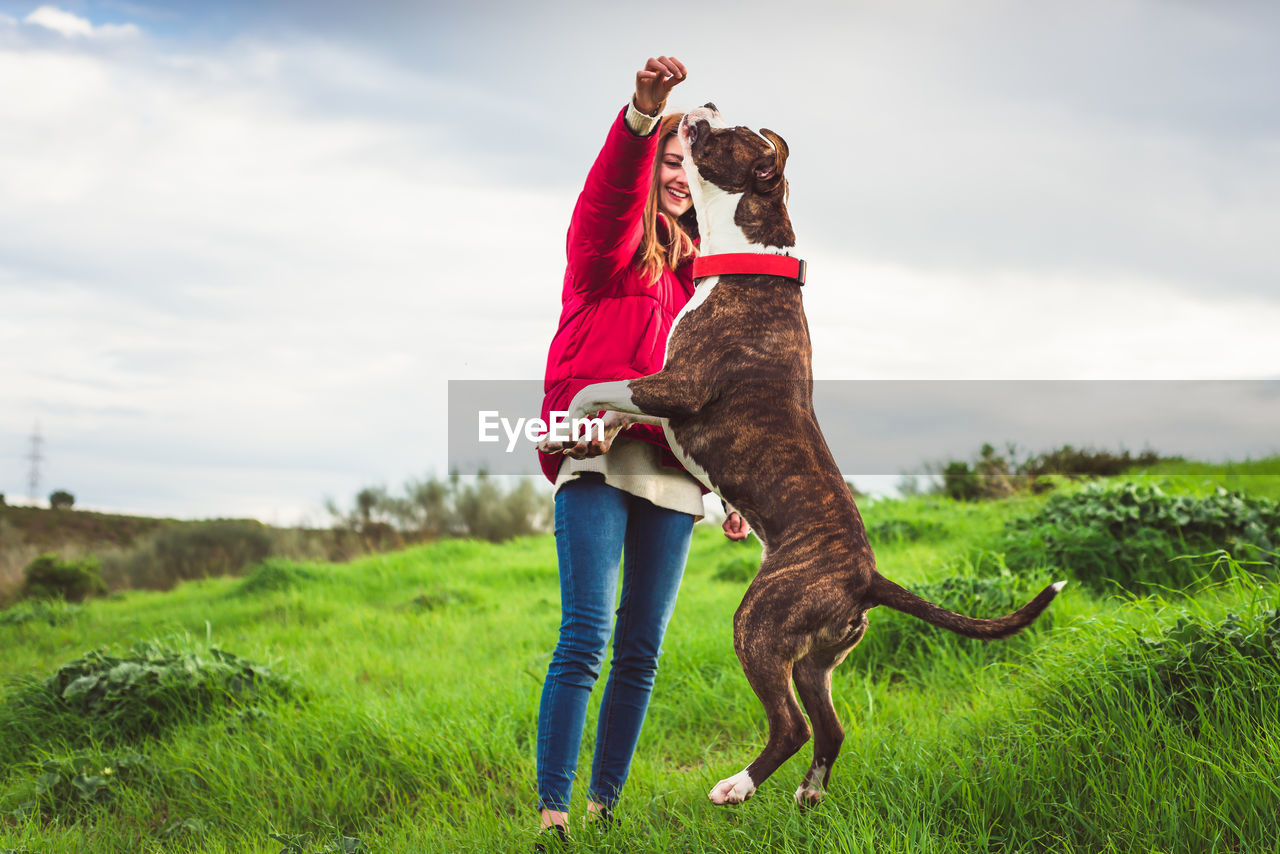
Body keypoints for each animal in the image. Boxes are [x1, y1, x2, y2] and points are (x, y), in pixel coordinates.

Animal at [535, 104, 1064, 809]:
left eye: (732, 134)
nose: (703, 103)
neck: (749, 258)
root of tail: (867, 578)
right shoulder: (660, 394)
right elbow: (613, 409)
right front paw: (572, 437)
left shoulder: (678, 385)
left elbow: (598, 385)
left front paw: (562, 426)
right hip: (818, 657)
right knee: (830, 728)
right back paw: (809, 795)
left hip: (759, 623)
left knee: (790, 725)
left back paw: (735, 786)